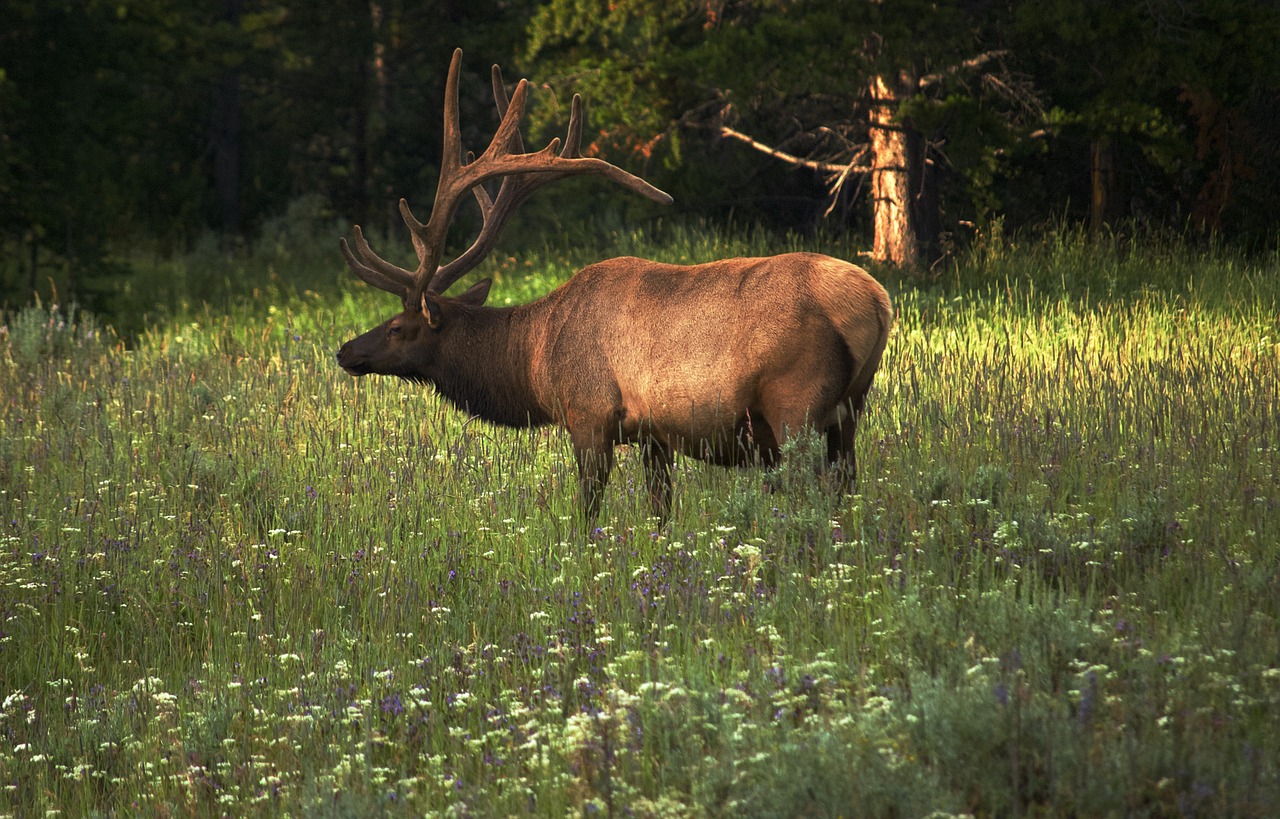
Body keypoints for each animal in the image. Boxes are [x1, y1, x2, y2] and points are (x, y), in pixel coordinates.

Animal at [335, 51, 896, 522]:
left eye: (396, 326)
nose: (345, 351)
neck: (535, 359)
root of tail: (877, 303)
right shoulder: (654, 435)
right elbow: (660, 511)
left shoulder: (589, 413)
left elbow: (587, 511)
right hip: (849, 410)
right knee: (846, 488)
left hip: (795, 403)